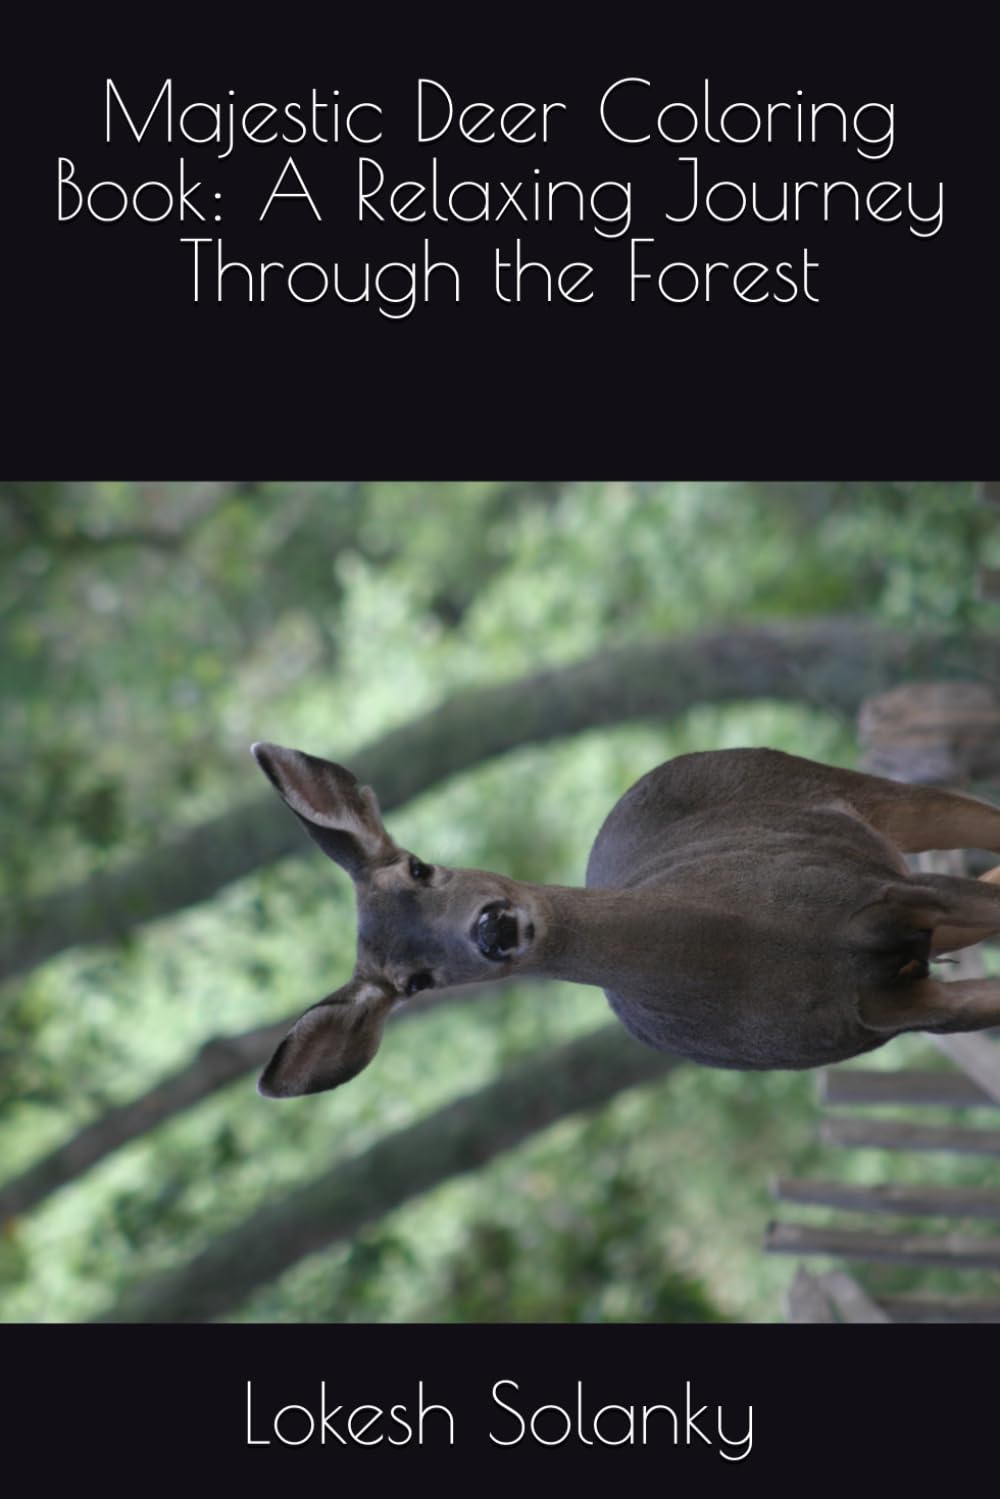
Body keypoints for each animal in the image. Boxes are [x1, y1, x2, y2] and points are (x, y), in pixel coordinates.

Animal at [249, 740, 1000, 1097]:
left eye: (420, 866)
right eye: (414, 984)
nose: (494, 927)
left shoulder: (890, 890)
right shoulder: (890, 1011)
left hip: (844, 789)